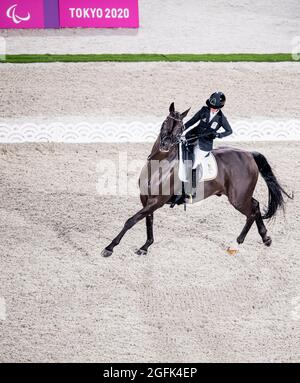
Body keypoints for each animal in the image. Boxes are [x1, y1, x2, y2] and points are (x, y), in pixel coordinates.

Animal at [101, 103, 292, 258]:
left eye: (180, 128)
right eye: (165, 122)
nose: (165, 145)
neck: (159, 165)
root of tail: (249, 155)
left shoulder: (157, 201)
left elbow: (131, 221)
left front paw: (109, 248)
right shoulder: (146, 199)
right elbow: (148, 221)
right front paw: (145, 247)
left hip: (237, 199)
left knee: (251, 212)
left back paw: (236, 244)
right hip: (241, 196)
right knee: (256, 205)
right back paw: (266, 238)